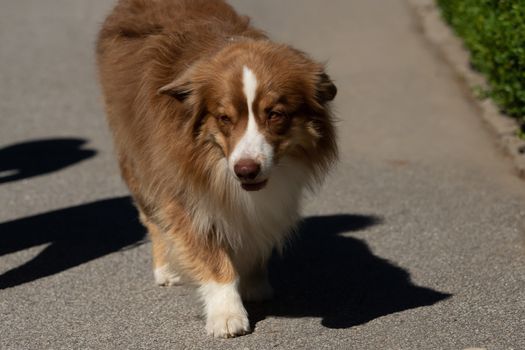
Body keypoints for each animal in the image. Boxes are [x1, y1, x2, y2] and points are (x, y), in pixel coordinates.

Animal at [96, 0, 338, 340]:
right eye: (224, 118)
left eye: (275, 114)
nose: (246, 170)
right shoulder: (182, 190)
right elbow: (211, 256)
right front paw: (227, 314)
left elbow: (254, 232)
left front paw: (254, 281)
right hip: (135, 157)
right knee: (153, 217)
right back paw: (166, 267)